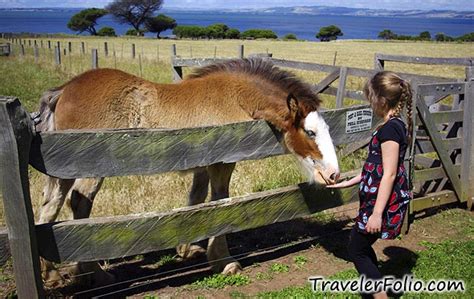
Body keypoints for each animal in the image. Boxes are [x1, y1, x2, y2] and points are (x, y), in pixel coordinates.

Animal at [38, 58, 340, 286]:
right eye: (310, 132)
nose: (334, 174)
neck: (234, 97)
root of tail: (63, 90)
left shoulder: (202, 165)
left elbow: (196, 200)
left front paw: (187, 249)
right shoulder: (222, 162)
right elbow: (220, 202)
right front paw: (224, 262)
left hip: (62, 168)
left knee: (50, 206)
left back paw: (53, 275)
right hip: (90, 168)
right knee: (79, 204)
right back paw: (95, 274)